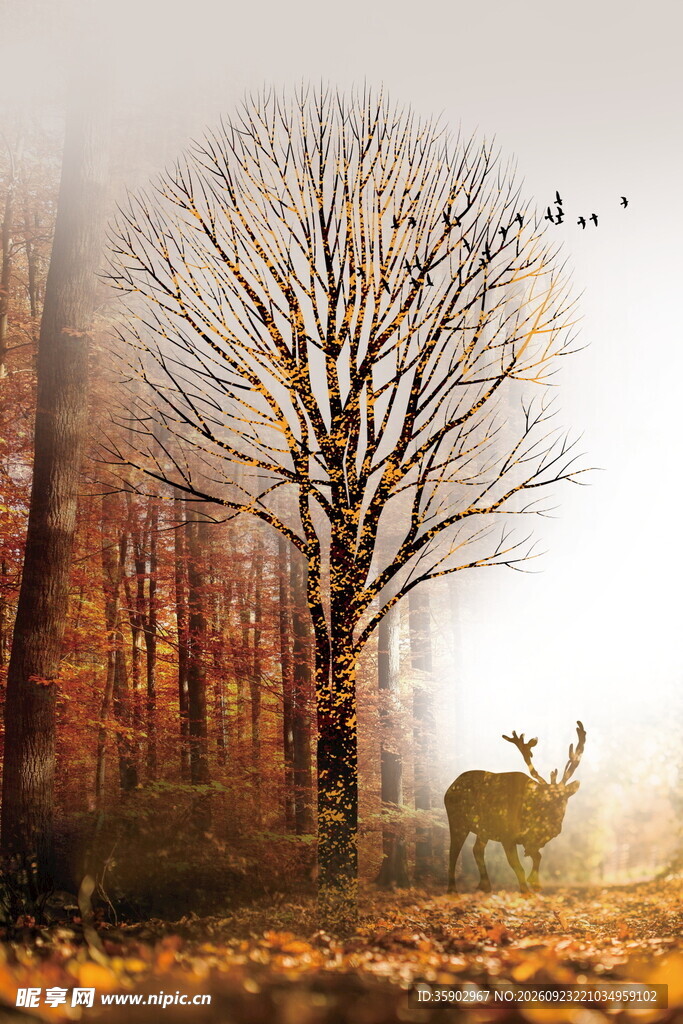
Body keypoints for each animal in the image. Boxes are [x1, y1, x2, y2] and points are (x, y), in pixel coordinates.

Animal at [444, 721, 586, 893]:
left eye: (564, 799)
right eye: (544, 800)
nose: (556, 827)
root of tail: (450, 787)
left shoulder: (528, 841)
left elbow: (538, 857)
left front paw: (536, 883)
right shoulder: (507, 836)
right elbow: (518, 867)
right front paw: (526, 890)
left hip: (483, 829)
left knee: (477, 849)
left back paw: (485, 886)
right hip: (457, 820)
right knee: (453, 851)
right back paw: (452, 889)